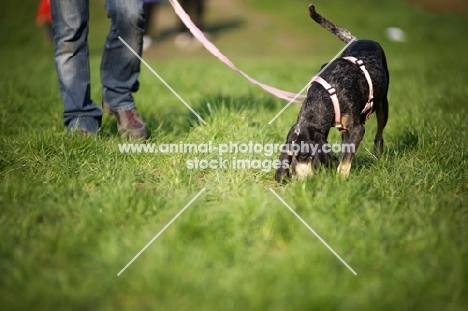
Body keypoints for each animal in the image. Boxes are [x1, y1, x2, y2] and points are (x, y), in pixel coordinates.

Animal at [276, 4, 390, 183]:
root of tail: (359, 40)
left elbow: (346, 158)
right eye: (290, 156)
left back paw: (378, 155)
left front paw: (340, 179)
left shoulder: (357, 128)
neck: (324, 96)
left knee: (379, 134)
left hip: (383, 104)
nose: (296, 180)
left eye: (304, 155)